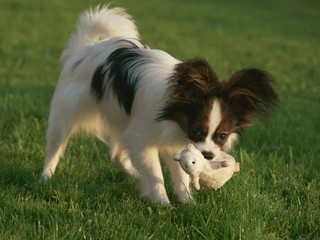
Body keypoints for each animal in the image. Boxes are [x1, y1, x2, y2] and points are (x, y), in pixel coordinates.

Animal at [42, 5, 278, 204]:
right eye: (195, 130)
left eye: (222, 136)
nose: (208, 156)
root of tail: (84, 50)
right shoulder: (141, 139)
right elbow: (156, 174)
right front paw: (163, 203)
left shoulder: (174, 143)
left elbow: (181, 176)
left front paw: (187, 204)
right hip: (65, 116)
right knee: (55, 148)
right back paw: (45, 178)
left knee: (117, 154)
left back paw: (134, 175)